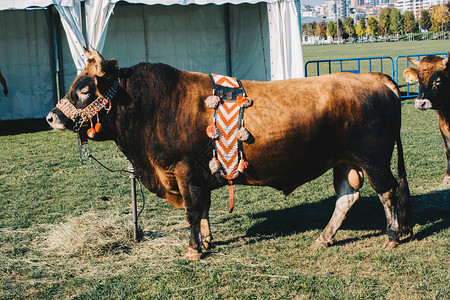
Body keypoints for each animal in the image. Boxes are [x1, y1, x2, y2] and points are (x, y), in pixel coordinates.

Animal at [47, 47, 414, 260]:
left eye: (83, 89)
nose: (52, 117)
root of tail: (374, 77)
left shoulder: (184, 170)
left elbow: (192, 211)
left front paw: (193, 250)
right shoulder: (198, 175)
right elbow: (203, 209)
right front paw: (207, 242)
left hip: (373, 159)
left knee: (388, 192)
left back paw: (392, 237)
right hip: (346, 161)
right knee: (347, 196)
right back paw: (323, 239)